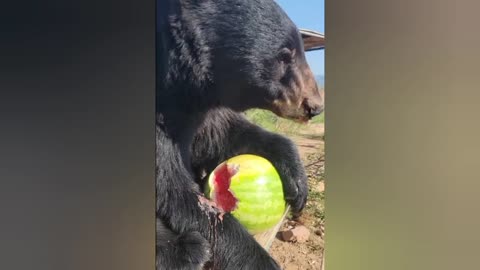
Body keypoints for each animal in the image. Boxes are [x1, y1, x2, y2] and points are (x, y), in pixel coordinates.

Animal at [157, 0, 322, 270]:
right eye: (284, 55)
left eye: (298, 50)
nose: (314, 106)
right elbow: (175, 191)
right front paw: (260, 260)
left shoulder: (204, 109)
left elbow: (228, 134)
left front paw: (298, 182)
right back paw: (186, 249)